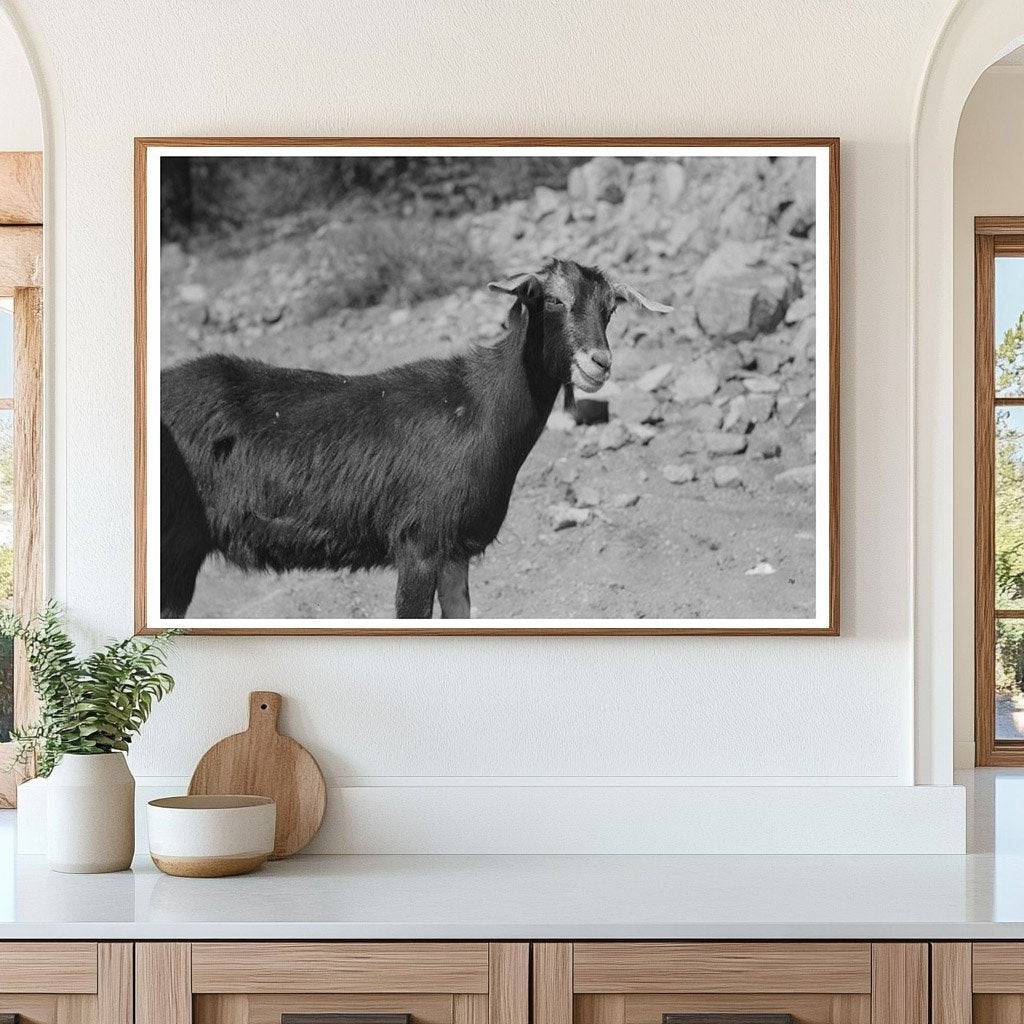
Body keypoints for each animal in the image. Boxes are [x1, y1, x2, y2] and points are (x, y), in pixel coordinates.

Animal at [159, 258, 672, 620]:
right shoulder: (419, 545)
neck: (478, 407)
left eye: (610, 309)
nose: (599, 363)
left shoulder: (454, 552)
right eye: (551, 300)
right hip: (176, 548)